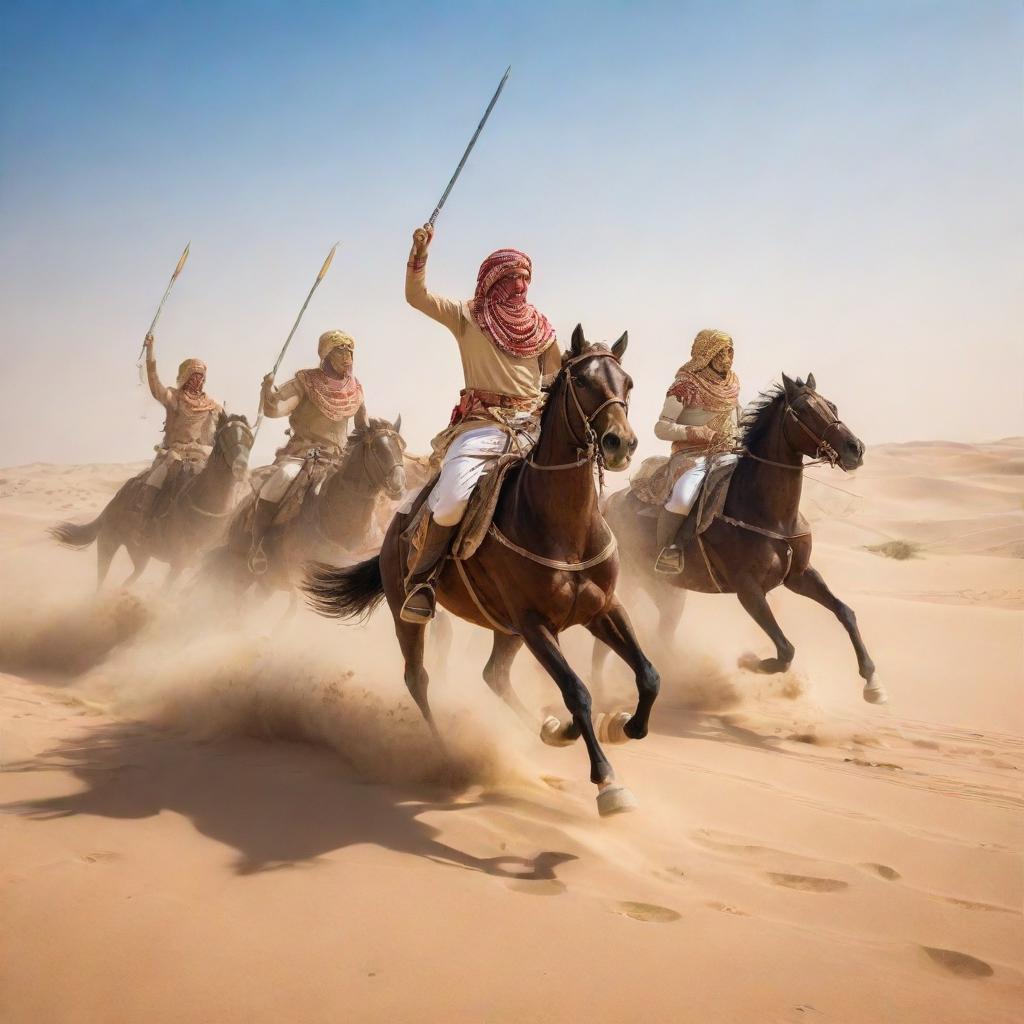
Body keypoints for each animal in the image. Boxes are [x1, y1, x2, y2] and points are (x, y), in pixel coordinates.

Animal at [50, 407, 254, 585]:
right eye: (224, 436)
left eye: (250, 440)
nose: (241, 468)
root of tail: (116, 499)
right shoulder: (178, 562)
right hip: (108, 541)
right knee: (101, 580)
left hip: (141, 554)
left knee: (130, 578)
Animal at [303, 325, 659, 815]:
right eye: (584, 382)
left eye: (628, 383)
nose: (620, 443)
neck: (561, 526)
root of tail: (396, 523)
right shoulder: (535, 625)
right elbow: (577, 691)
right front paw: (608, 782)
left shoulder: (603, 610)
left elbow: (648, 675)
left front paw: (624, 725)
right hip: (409, 616)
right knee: (419, 679)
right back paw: (447, 753)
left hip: (504, 629)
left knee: (494, 675)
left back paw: (551, 730)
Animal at [598, 374, 888, 704]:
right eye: (804, 410)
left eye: (832, 406)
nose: (856, 449)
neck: (769, 514)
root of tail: (608, 505)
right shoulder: (748, 590)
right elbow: (785, 650)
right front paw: (749, 662)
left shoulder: (799, 576)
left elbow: (845, 612)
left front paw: (873, 682)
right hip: (634, 584)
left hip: (669, 592)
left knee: (660, 634)